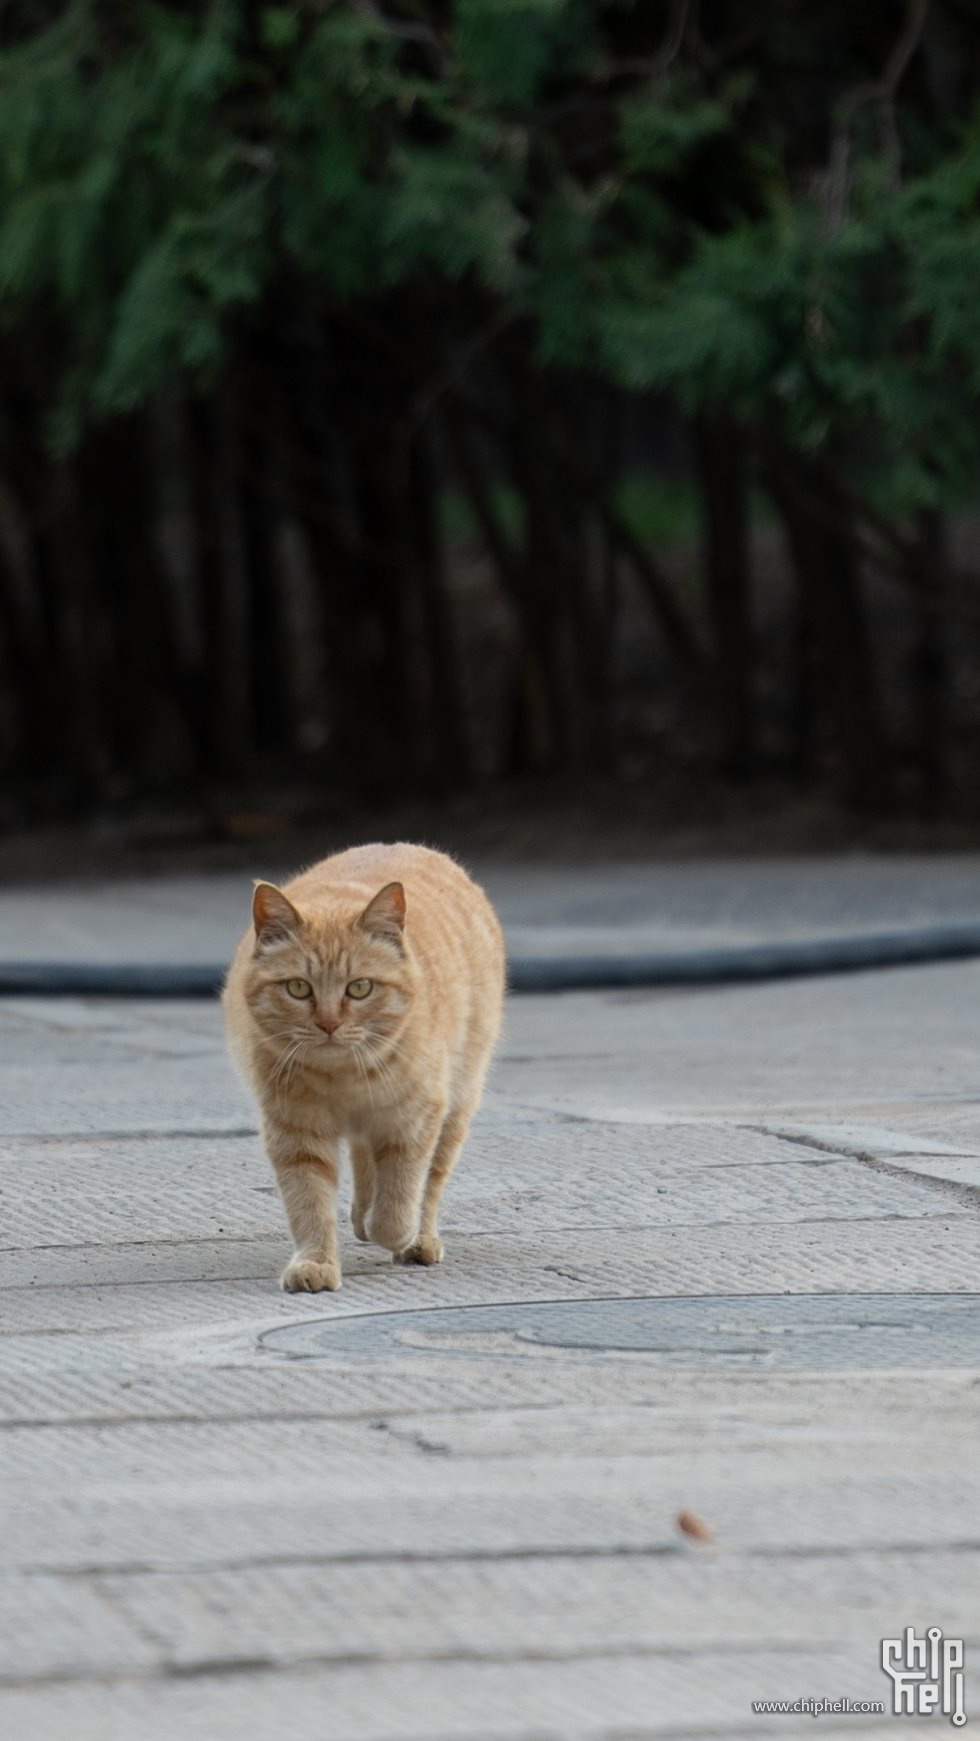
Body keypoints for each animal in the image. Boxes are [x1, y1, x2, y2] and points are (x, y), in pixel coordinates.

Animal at [222, 842, 504, 1295]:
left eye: (360, 988)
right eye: (298, 988)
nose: (329, 1024)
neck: (344, 1081)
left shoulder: (416, 1120)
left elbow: (400, 1197)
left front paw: (395, 1232)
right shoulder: (296, 1132)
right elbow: (309, 1202)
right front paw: (316, 1262)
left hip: (458, 1104)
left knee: (430, 1181)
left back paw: (418, 1239)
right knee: (363, 1159)